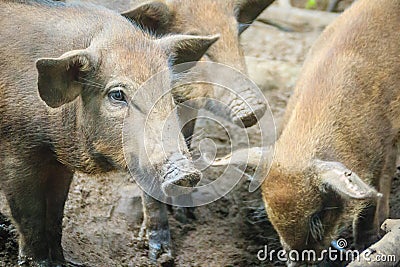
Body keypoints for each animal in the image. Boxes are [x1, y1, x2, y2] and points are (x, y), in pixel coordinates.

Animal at [0, 1, 217, 266]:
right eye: (117, 95)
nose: (187, 173)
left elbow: (55, 213)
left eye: (168, 91)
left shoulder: (59, 165)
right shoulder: (16, 154)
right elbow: (30, 219)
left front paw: (63, 262)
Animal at [209, 0, 400, 264]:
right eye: (271, 216)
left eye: (317, 215)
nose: (298, 260)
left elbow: (373, 197)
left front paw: (367, 244)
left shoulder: (382, 147)